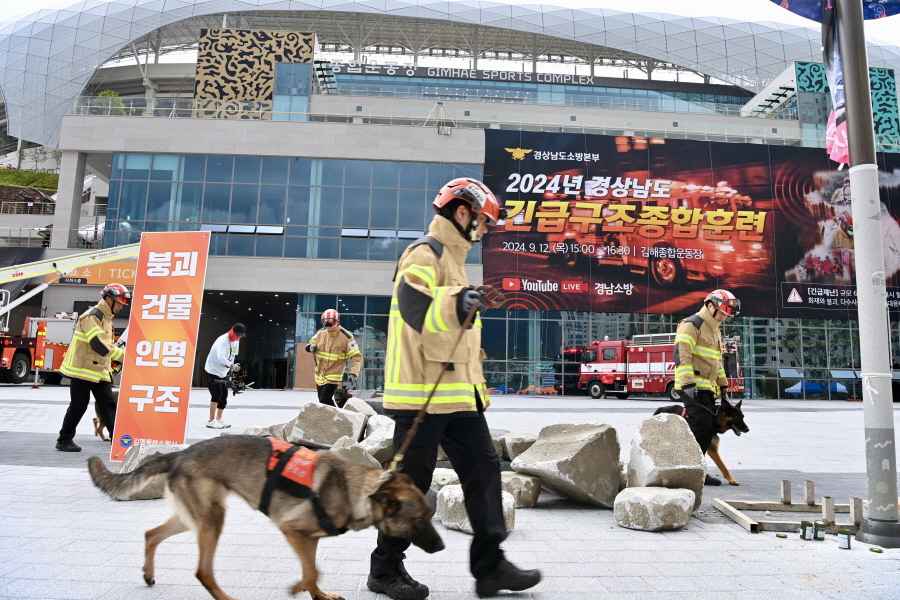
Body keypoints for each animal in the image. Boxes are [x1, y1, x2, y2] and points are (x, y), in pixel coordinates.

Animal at [86, 436, 444, 600]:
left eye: (429, 516)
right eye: (418, 520)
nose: (441, 548)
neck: (353, 489)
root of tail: (181, 453)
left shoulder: (309, 539)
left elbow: (313, 571)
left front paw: (318, 595)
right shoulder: (292, 530)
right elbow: (312, 571)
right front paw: (299, 587)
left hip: (194, 518)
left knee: (151, 534)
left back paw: (148, 575)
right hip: (212, 521)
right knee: (203, 571)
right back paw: (226, 598)